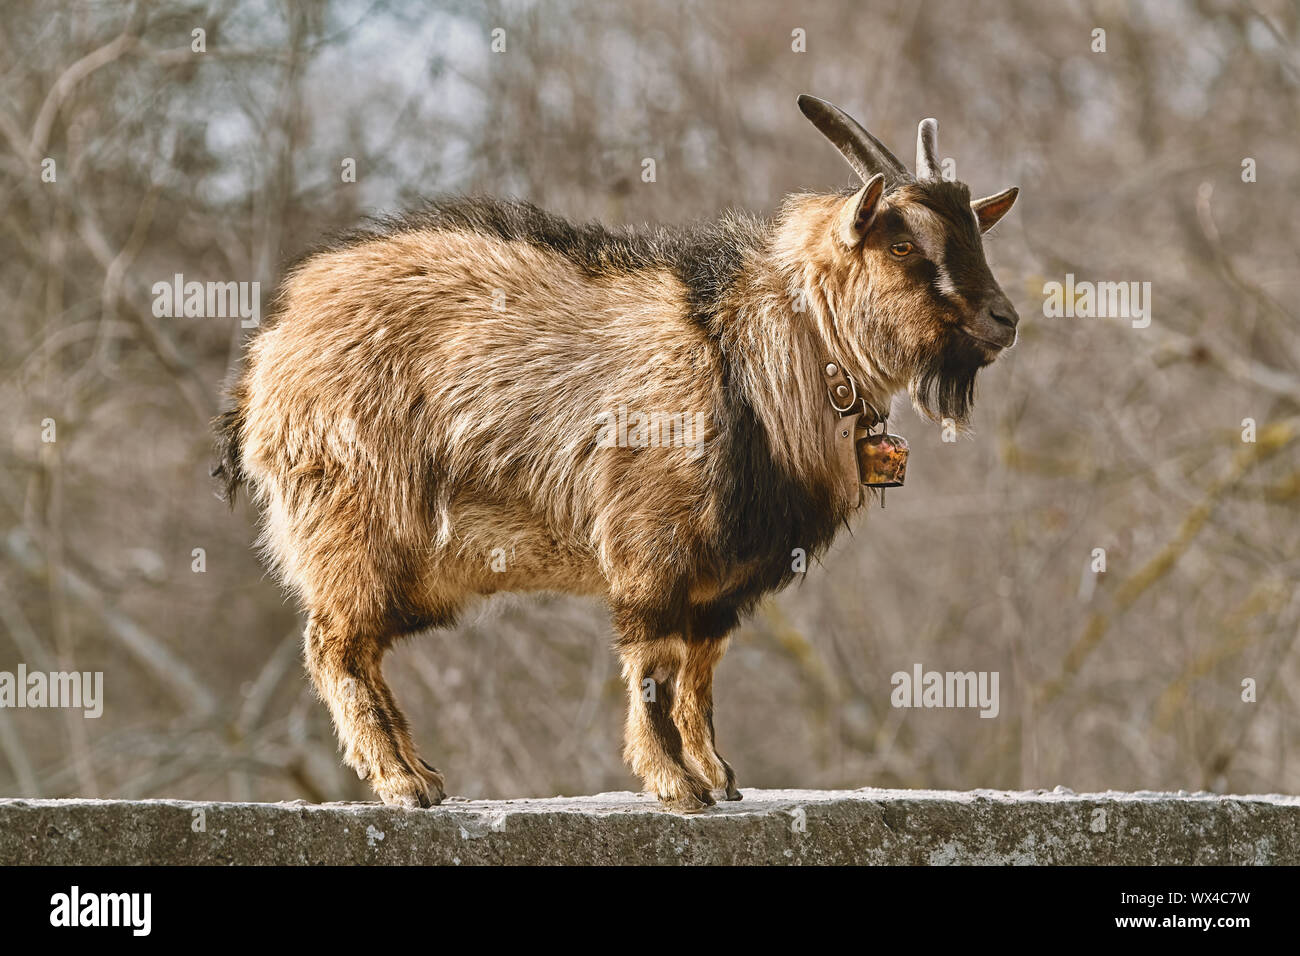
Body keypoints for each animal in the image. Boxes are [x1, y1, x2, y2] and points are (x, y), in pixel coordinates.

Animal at [212, 95, 1020, 812]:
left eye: (975, 236)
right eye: (903, 244)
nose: (1004, 318)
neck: (744, 347)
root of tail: (268, 356)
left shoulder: (721, 578)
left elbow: (701, 668)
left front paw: (719, 776)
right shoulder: (651, 542)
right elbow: (656, 663)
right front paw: (676, 786)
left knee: (359, 646)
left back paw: (422, 774)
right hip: (350, 519)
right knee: (335, 644)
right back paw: (401, 784)